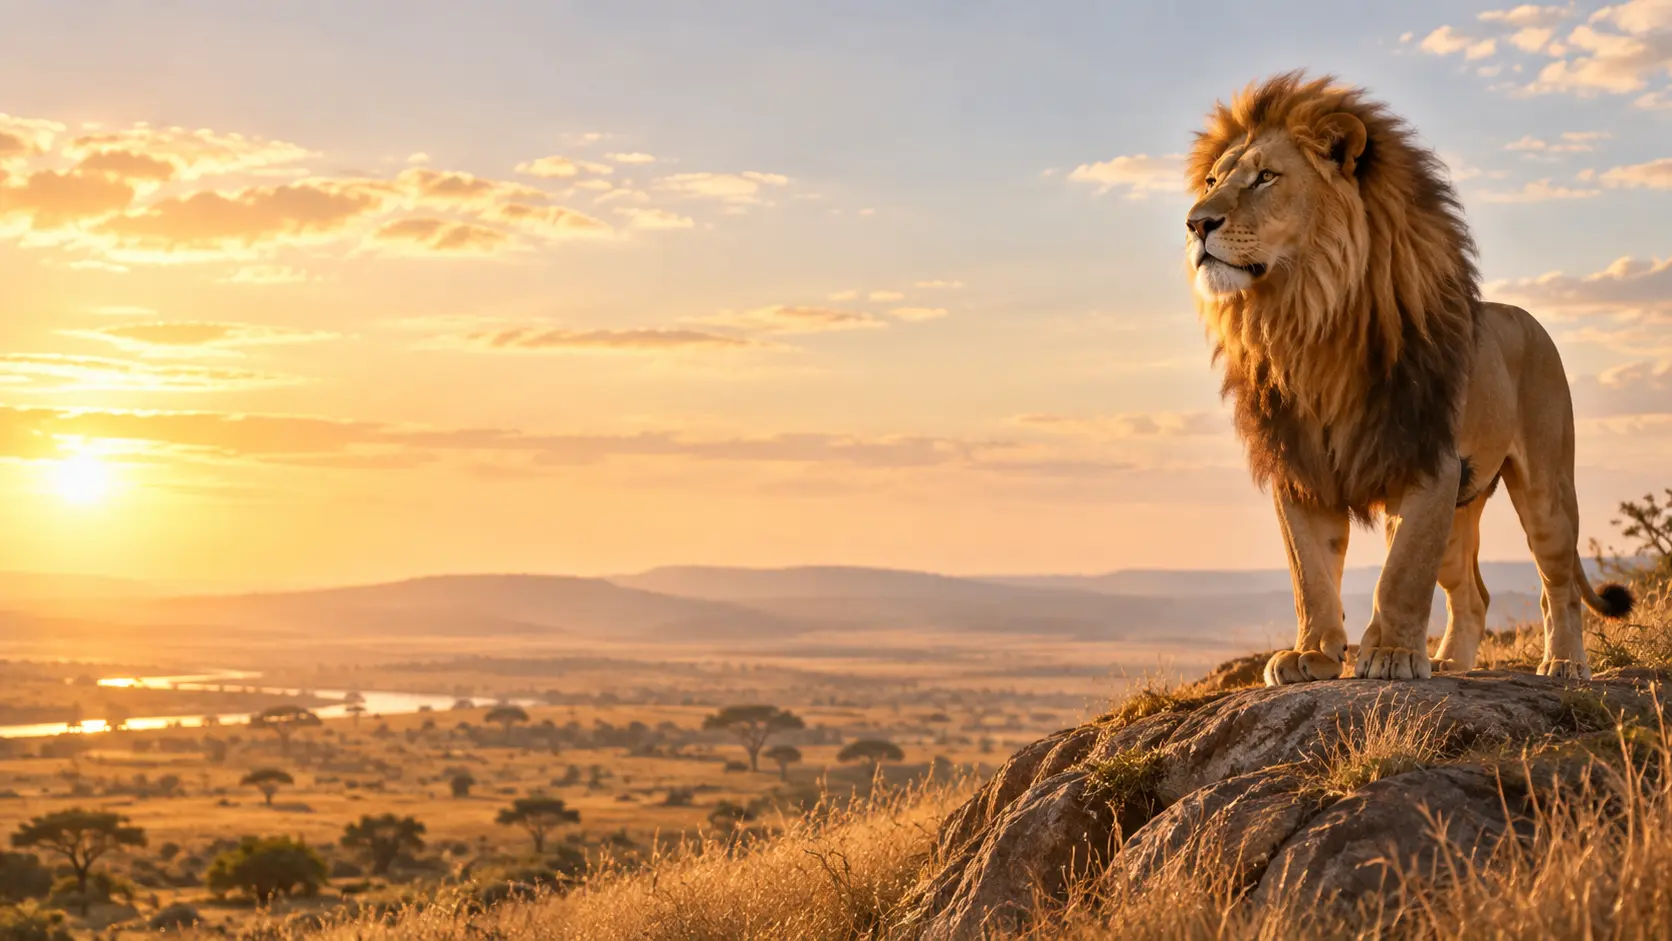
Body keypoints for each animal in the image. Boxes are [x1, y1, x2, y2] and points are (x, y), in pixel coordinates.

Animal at [1182, 71, 1633, 687]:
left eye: (1266, 177)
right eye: (1211, 180)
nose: (1196, 223)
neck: (1305, 319)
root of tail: (1525, 317)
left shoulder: (1425, 457)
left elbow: (1400, 573)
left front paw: (1393, 655)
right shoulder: (1300, 467)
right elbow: (1311, 573)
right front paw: (1312, 654)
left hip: (1546, 487)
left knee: (1556, 586)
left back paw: (1564, 664)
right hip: (1462, 509)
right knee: (1473, 595)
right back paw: (1450, 663)